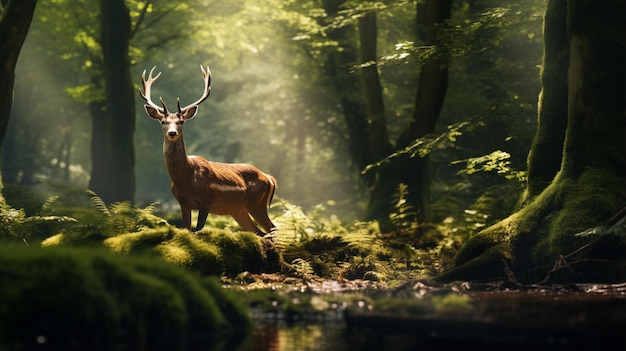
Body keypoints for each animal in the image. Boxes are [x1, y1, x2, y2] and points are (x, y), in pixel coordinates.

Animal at [139, 65, 276, 238]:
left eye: (181, 121)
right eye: (163, 121)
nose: (172, 133)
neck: (185, 179)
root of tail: (269, 178)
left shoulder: (207, 200)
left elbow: (198, 230)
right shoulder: (183, 203)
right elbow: (188, 230)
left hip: (257, 203)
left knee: (273, 229)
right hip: (238, 210)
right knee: (260, 233)